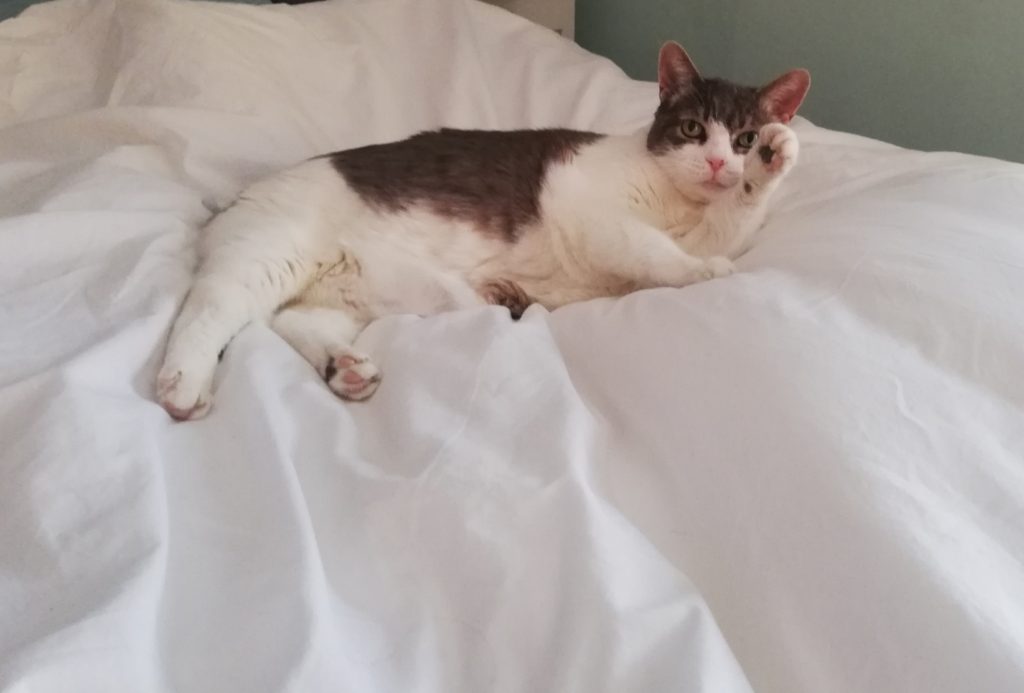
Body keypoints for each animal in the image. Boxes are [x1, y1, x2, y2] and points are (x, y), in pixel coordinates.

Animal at [153, 44, 806, 421]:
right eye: (694, 129)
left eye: (743, 138)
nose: (721, 162)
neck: (679, 201)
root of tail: (233, 200)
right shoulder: (597, 217)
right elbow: (654, 250)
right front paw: (700, 270)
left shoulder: (707, 224)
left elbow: (727, 223)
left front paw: (769, 165)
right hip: (269, 254)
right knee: (210, 309)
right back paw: (183, 384)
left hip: (351, 288)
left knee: (292, 320)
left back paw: (347, 367)